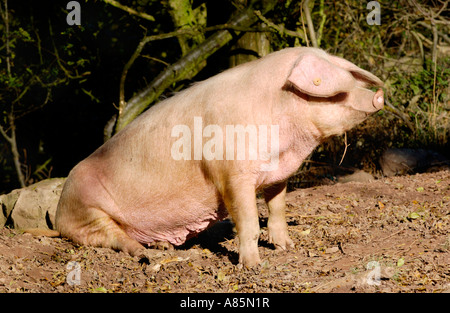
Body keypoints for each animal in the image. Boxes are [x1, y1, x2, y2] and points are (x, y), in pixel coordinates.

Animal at [53, 46, 384, 266]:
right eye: (332, 90)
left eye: (352, 78)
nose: (378, 96)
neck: (288, 144)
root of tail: (58, 216)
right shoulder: (232, 174)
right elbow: (249, 221)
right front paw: (253, 266)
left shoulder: (277, 174)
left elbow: (277, 210)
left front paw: (287, 247)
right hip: (87, 212)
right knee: (116, 239)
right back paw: (146, 255)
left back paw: (162, 248)